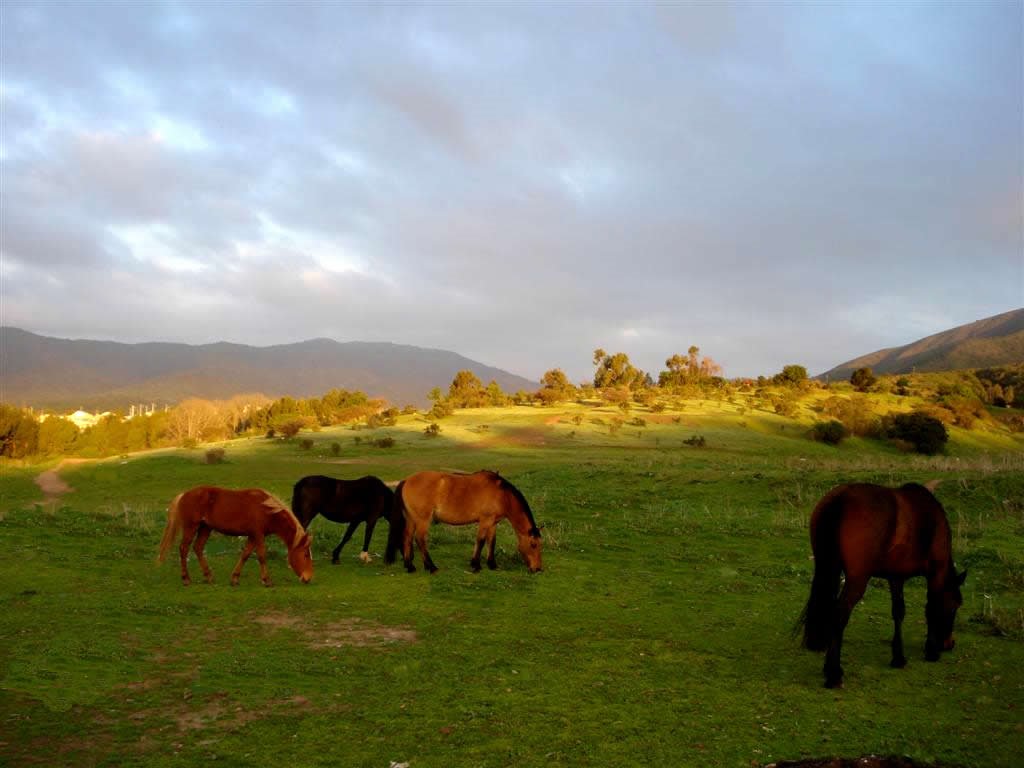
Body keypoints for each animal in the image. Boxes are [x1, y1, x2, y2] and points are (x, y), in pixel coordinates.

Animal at [156, 487, 311, 589]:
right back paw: (186, 579)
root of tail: (183, 495)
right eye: (305, 554)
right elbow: (261, 555)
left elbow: (245, 555)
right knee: (183, 549)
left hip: (205, 528)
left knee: (198, 548)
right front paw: (267, 580)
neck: (267, 510)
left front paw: (235, 579)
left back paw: (209, 576)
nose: (308, 578)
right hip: (191, 527)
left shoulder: (252, 536)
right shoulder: (258, 535)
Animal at [385, 473, 544, 573]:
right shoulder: (485, 521)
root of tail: (406, 480)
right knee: (420, 539)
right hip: (423, 520)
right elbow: (481, 541)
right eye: (533, 545)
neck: (501, 495)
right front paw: (476, 565)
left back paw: (410, 566)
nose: (537, 569)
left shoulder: (493, 523)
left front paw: (492, 564)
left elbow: (491, 542)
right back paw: (431, 567)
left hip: (411, 519)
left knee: (407, 537)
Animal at [798, 481, 966, 692]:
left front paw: (898, 657)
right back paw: (834, 674)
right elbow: (931, 608)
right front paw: (931, 651)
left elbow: (898, 612)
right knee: (839, 615)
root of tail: (840, 498)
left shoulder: (896, 576)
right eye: (955, 606)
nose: (949, 643)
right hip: (857, 580)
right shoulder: (936, 571)